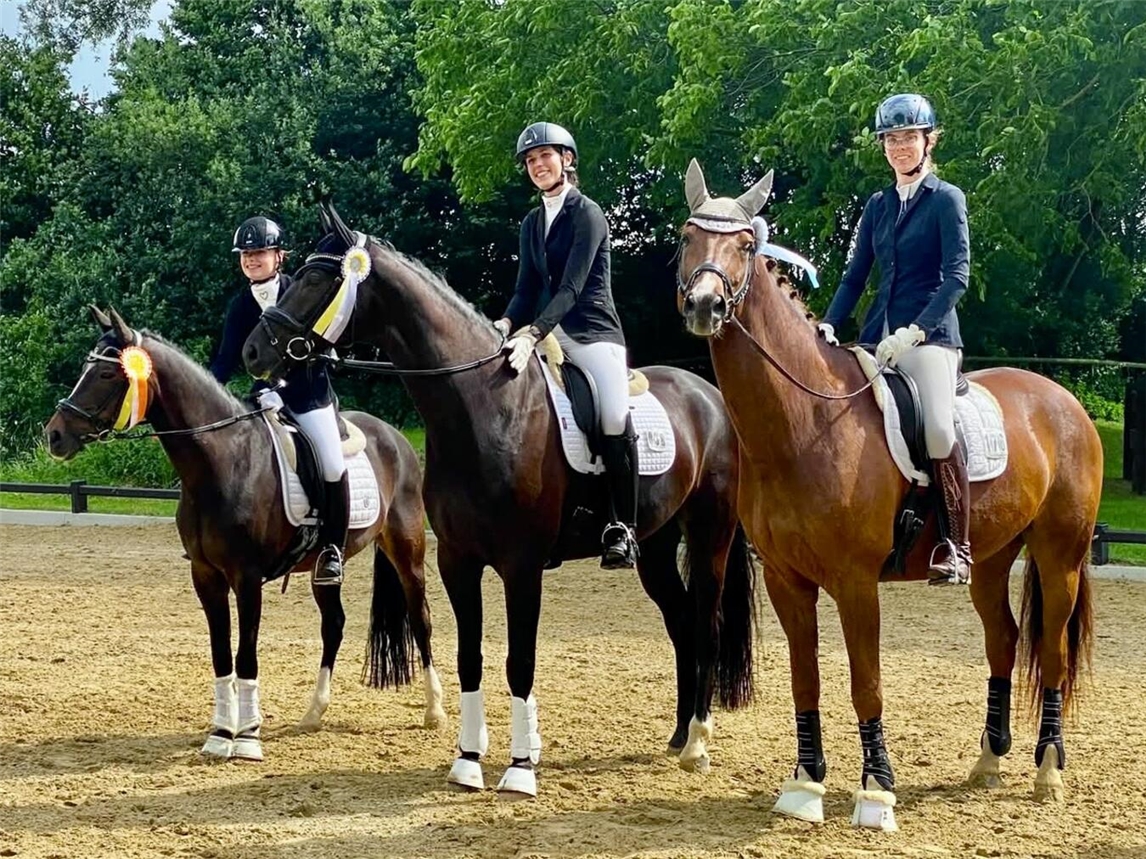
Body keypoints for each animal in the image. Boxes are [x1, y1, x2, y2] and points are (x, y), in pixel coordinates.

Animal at [45, 307, 447, 762]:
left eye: (107, 373)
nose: (54, 435)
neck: (222, 462)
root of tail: (394, 436)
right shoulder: (206, 576)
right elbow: (221, 654)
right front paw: (221, 734)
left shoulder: (247, 578)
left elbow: (246, 653)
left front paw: (249, 737)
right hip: (327, 567)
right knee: (334, 625)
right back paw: (313, 714)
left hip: (407, 549)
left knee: (420, 618)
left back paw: (434, 711)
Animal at [240, 202, 758, 798]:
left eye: (316, 277)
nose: (253, 350)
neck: (483, 408)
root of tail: (709, 395)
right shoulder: (457, 561)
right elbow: (470, 657)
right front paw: (467, 761)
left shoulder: (521, 565)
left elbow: (519, 661)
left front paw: (519, 769)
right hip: (652, 546)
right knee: (680, 623)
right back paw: (675, 737)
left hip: (710, 536)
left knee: (707, 623)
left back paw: (697, 744)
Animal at [674, 162, 1101, 828]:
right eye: (687, 237)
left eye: (745, 245)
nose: (704, 305)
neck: (804, 422)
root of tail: (1063, 401)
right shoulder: (786, 580)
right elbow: (806, 680)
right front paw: (805, 784)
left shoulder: (855, 582)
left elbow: (865, 683)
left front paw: (875, 791)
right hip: (990, 558)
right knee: (1003, 641)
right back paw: (988, 761)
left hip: (1061, 556)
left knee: (1051, 652)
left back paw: (1048, 771)